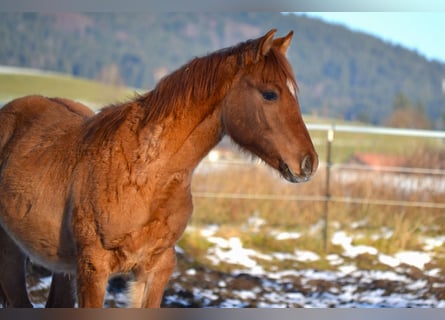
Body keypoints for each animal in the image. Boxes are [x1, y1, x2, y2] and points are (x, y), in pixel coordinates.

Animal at [0, 30, 320, 308]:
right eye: (270, 94)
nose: (309, 162)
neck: (145, 175)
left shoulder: (157, 267)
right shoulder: (93, 268)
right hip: (12, 252)